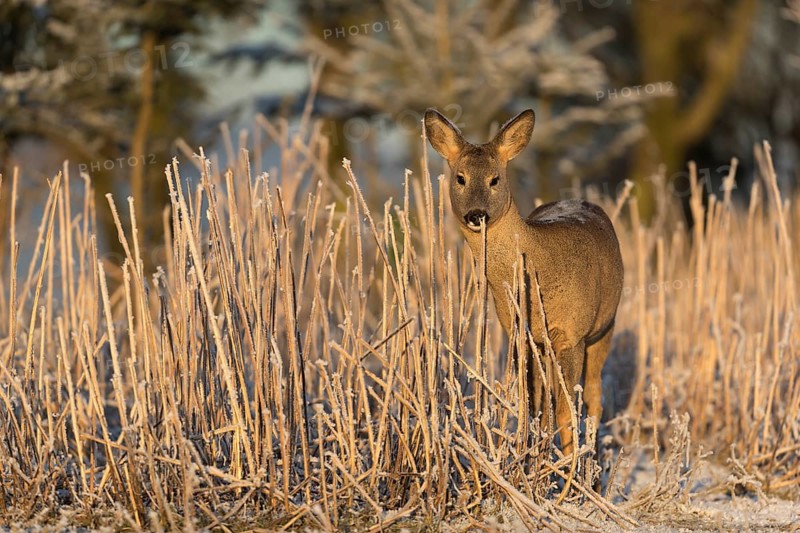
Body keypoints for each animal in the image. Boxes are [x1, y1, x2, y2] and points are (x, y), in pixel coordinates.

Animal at [424, 108, 624, 458]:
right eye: (460, 178)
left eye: (495, 179)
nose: (476, 215)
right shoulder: (518, 332)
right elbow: (531, 404)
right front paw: (531, 454)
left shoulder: (572, 334)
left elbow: (567, 411)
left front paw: (567, 465)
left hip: (604, 328)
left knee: (594, 398)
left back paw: (591, 457)